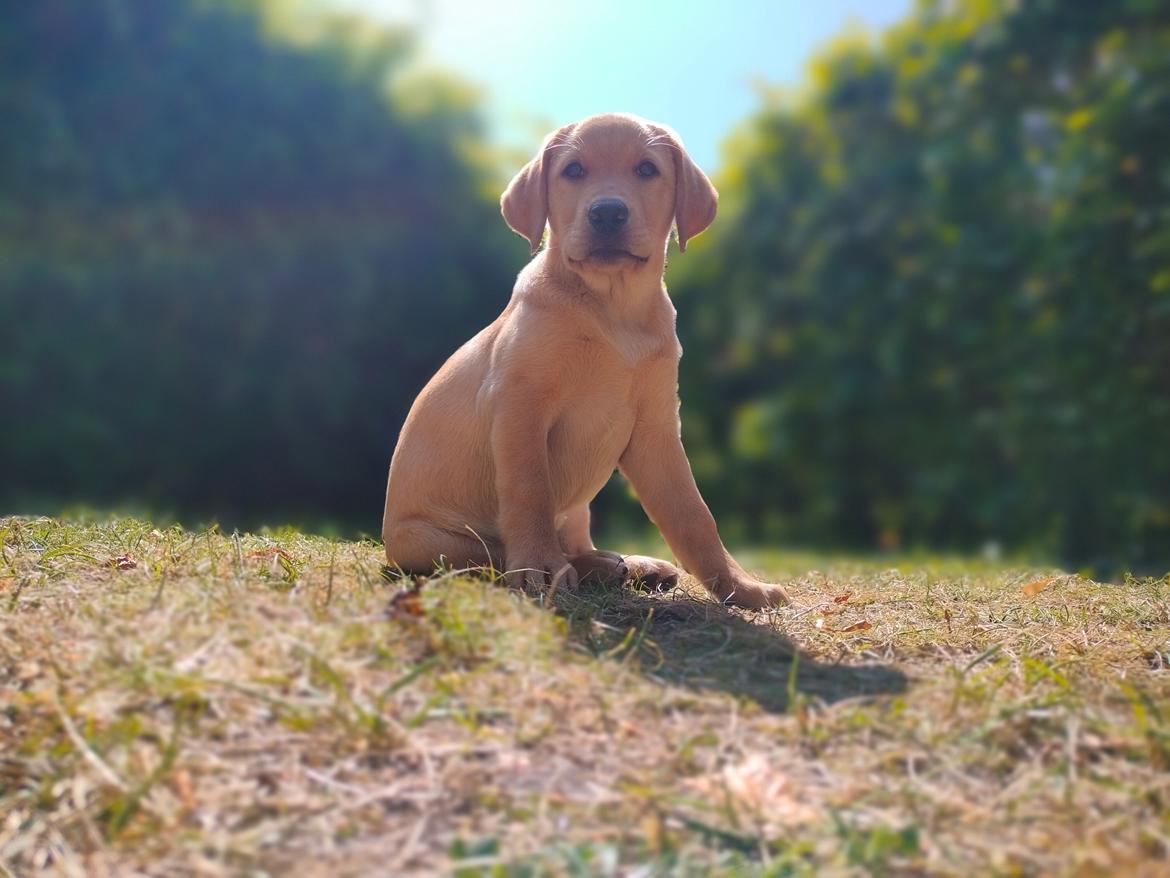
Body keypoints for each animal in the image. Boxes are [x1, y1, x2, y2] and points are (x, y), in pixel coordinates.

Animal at [383, 113, 795, 608]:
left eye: (647, 169)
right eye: (574, 171)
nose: (607, 212)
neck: (613, 309)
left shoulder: (656, 429)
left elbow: (695, 514)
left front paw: (740, 586)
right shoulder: (520, 406)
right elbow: (529, 489)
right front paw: (538, 566)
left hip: (578, 509)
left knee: (576, 544)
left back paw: (629, 566)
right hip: (433, 541)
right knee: (497, 555)